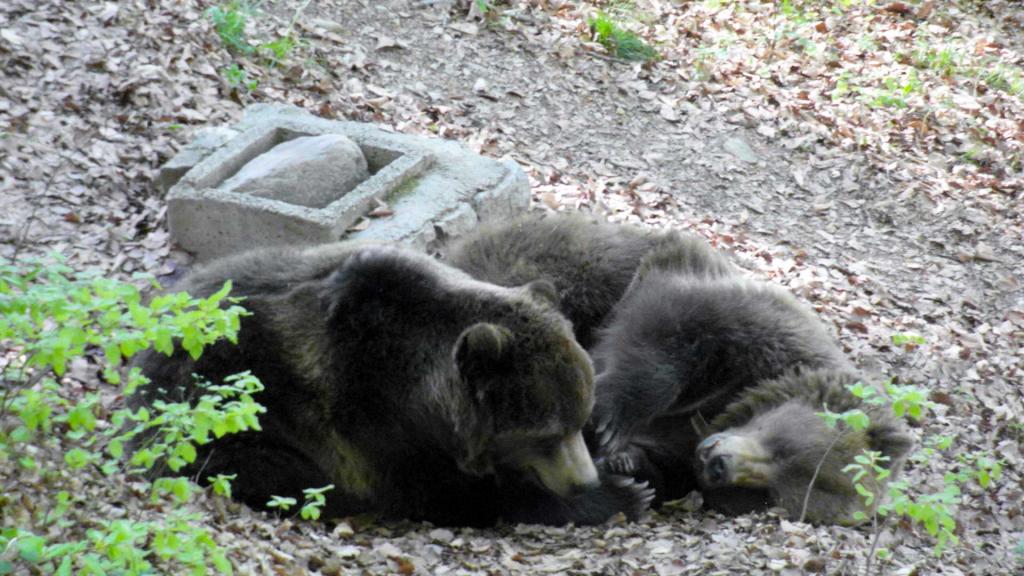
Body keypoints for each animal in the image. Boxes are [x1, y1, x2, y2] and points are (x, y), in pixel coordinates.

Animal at [132, 239, 651, 528]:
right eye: (544, 434)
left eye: (579, 416)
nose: (582, 480)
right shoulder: (372, 427)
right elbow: (452, 496)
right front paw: (624, 494)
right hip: (226, 416)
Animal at [446, 213, 913, 522]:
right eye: (787, 448)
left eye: (771, 495)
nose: (719, 466)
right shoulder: (749, 324)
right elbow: (665, 328)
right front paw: (609, 420)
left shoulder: (685, 446)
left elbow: (659, 464)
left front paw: (628, 466)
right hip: (549, 262)